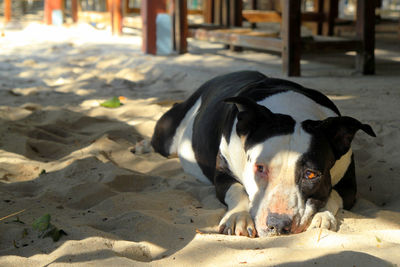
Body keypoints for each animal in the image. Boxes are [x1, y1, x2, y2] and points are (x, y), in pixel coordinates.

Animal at [150, 71, 376, 239]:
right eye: (259, 168)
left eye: (311, 175)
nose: (278, 224)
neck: (293, 109)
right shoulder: (223, 174)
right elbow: (236, 190)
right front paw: (239, 216)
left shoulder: (349, 184)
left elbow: (333, 194)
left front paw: (322, 215)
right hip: (169, 131)